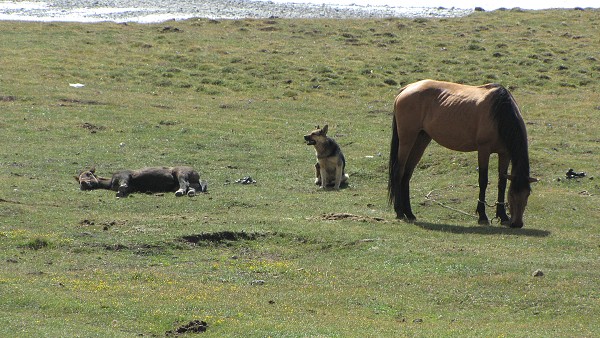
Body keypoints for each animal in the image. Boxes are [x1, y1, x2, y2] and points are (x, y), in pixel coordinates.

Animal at [390, 79, 540, 227]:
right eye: (512, 195)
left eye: (527, 194)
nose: (517, 223)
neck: (500, 113)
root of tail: (407, 88)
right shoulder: (484, 150)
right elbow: (483, 181)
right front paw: (482, 216)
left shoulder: (505, 154)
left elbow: (501, 183)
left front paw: (503, 216)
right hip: (407, 140)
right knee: (399, 171)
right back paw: (399, 211)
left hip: (421, 139)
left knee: (407, 173)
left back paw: (409, 213)